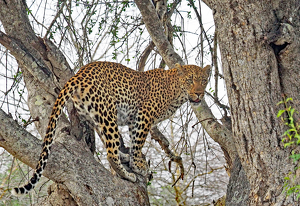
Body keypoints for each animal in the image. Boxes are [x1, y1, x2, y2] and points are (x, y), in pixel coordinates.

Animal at [12, 60, 211, 195]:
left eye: (203, 80)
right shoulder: (144, 115)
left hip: (94, 116)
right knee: (110, 152)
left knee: (109, 144)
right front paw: (138, 165)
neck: (177, 93)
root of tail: (79, 74)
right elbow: (138, 142)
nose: (199, 93)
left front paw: (134, 159)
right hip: (108, 113)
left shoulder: (134, 119)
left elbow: (134, 139)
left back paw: (124, 157)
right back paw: (127, 174)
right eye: (190, 80)